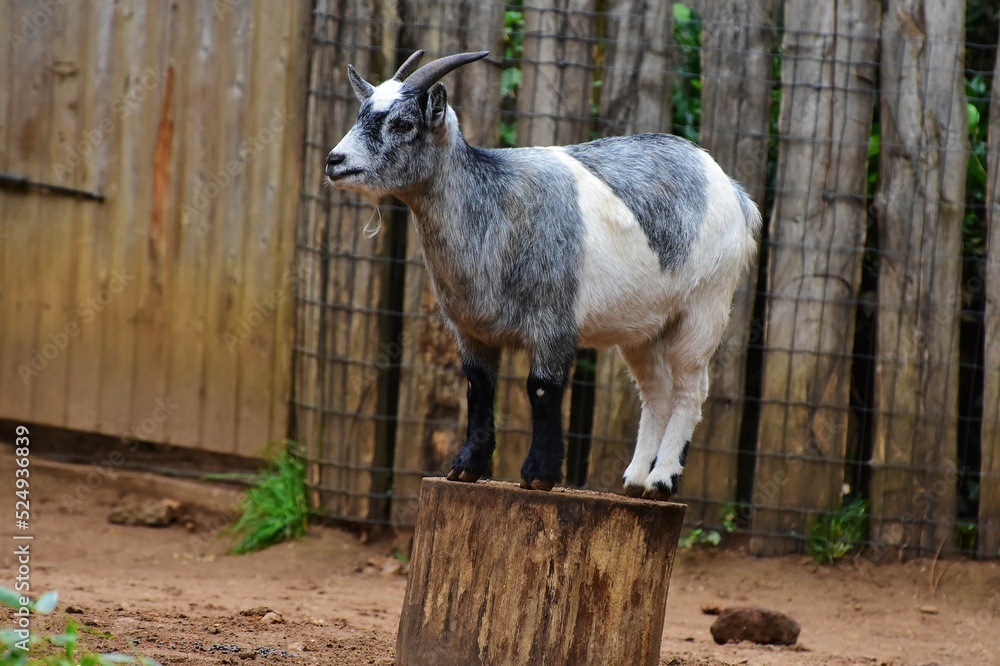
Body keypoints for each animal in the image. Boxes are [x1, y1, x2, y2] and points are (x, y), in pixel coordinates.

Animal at [325, 50, 760, 500]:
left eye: (403, 124)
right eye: (361, 114)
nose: (334, 161)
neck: (493, 205)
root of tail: (733, 190)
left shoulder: (554, 324)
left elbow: (541, 389)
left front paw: (539, 474)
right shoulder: (471, 331)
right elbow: (478, 389)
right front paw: (465, 468)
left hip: (704, 307)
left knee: (691, 388)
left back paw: (662, 480)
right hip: (644, 329)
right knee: (655, 391)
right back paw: (634, 480)